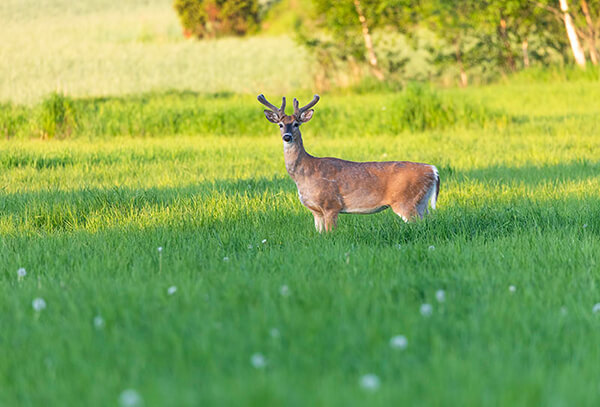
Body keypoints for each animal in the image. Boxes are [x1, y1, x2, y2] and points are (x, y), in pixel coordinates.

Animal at [258, 93, 440, 233]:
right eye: (280, 125)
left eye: (296, 124)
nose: (287, 137)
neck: (304, 174)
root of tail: (433, 169)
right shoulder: (316, 211)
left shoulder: (331, 204)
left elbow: (331, 233)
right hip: (421, 203)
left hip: (405, 201)